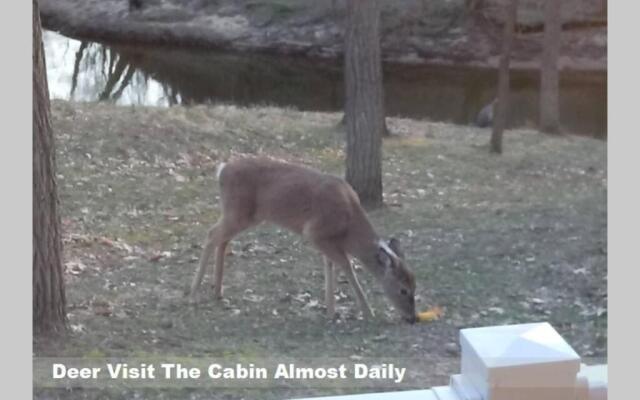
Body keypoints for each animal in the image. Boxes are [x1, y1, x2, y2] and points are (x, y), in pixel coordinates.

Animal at [189, 155, 420, 324]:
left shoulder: (329, 241)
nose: (413, 318)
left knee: (222, 239)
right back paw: (194, 293)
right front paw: (367, 312)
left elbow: (331, 267)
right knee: (211, 234)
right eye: (403, 290)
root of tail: (222, 170)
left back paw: (218, 292)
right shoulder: (315, 232)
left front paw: (331, 311)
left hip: (244, 215)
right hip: (237, 212)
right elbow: (347, 266)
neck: (349, 227)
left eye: (415, 285)